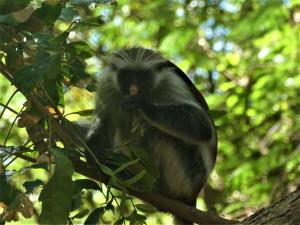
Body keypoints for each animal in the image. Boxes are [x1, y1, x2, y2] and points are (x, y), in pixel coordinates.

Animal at [85, 47, 217, 225]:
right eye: (127, 77)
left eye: (142, 78)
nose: (133, 89)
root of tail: (192, 196)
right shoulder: (108, 85)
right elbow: (104, 122)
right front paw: (93, 152)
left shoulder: (171, 82)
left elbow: (203, 126)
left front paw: (144, 106)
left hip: (186, 175)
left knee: (156, 132)